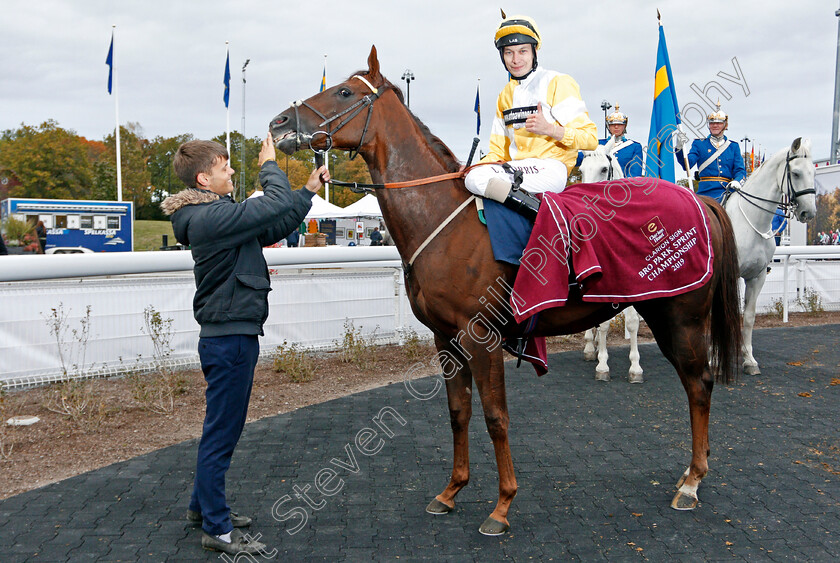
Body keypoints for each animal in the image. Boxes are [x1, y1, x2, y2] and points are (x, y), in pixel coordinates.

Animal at [576, 143, 644, 386]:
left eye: (604, 169)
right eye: (581, 170)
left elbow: (632, 322)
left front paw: (635, 368)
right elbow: (604, 323)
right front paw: (602, 366)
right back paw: (590, 347)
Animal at [724, 138, 816, 374]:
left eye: (813, 171)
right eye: (796, 174)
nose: (809, 213)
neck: (750, 222)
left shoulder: (757, 276)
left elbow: (748, 317)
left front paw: (749, 360)